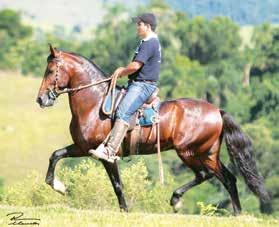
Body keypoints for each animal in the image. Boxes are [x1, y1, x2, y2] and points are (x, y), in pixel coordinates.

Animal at [36, 45, 272, 215]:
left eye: (50, 70)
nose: (41, 99)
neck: (95, 102)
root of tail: (217, 111)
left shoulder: (106, 156)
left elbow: (117, 185)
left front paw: (125, 211)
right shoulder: (82, 147)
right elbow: (55, 155)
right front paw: (59, 186)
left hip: (190, 152)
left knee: (206, 174)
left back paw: (176, 200)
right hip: (208, 152)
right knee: (228, 178)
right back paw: (237, 213)